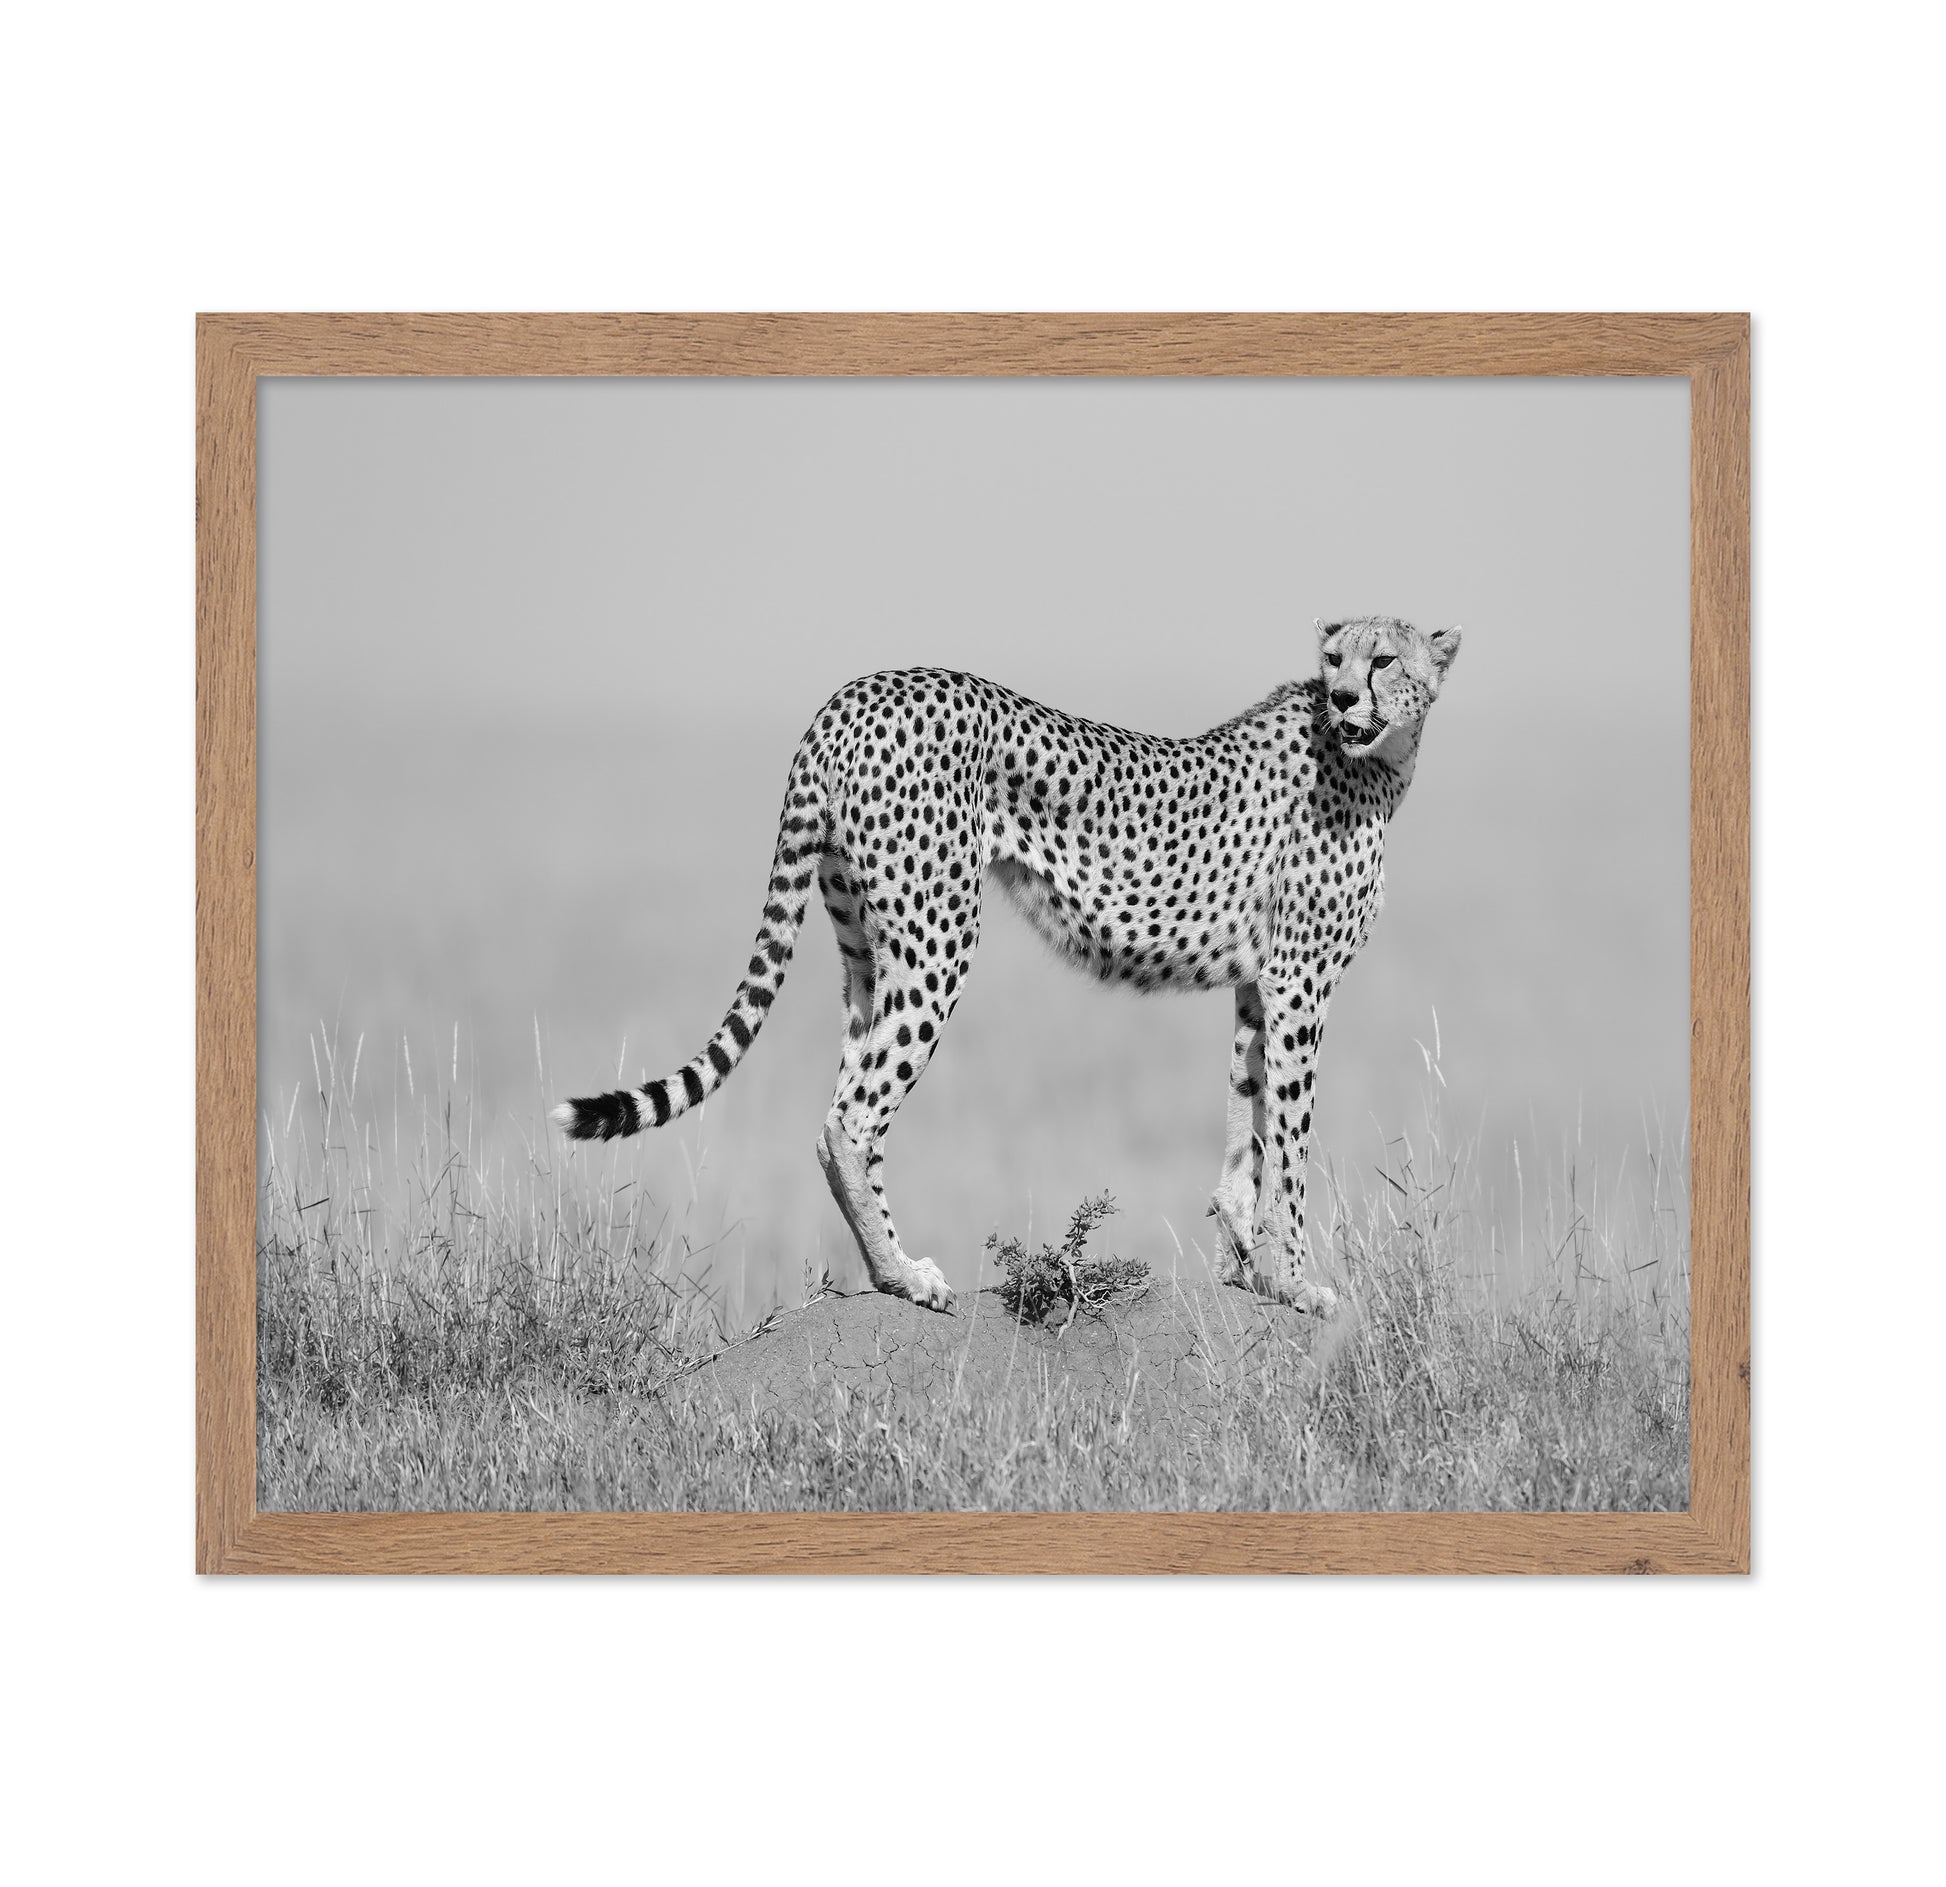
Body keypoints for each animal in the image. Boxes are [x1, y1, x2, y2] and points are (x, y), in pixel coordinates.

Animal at [554, 614, 1461, 1314]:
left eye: (1384, 659)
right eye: (1335, 660)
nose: (1343, 697)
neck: (1377, 759)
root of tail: (854, 692)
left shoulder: (1255, 983)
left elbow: (1249, 1120)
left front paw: (1250, 1261)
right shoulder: (1300, 984)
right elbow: (1293, 1138)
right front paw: (1299, 1281)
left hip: (867, 949)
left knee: (842, 1106)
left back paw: (887, 1268)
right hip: (939, 937)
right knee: (851, 1118)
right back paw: (904, 1276)